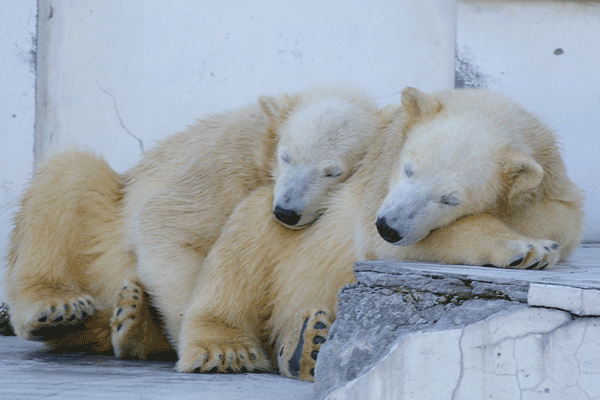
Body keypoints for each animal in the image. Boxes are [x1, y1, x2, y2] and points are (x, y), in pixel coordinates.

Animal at [172, 86, 580, 382]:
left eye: (450, 198)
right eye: (409, 168)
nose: (390, 226)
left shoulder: (550, 172)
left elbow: (561, 217)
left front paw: (536, 239)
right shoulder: (379, 177)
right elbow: (377, 242)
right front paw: (525, 248)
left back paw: (309, 345)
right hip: (277, 229)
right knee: (243, 253)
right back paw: (229, 349)